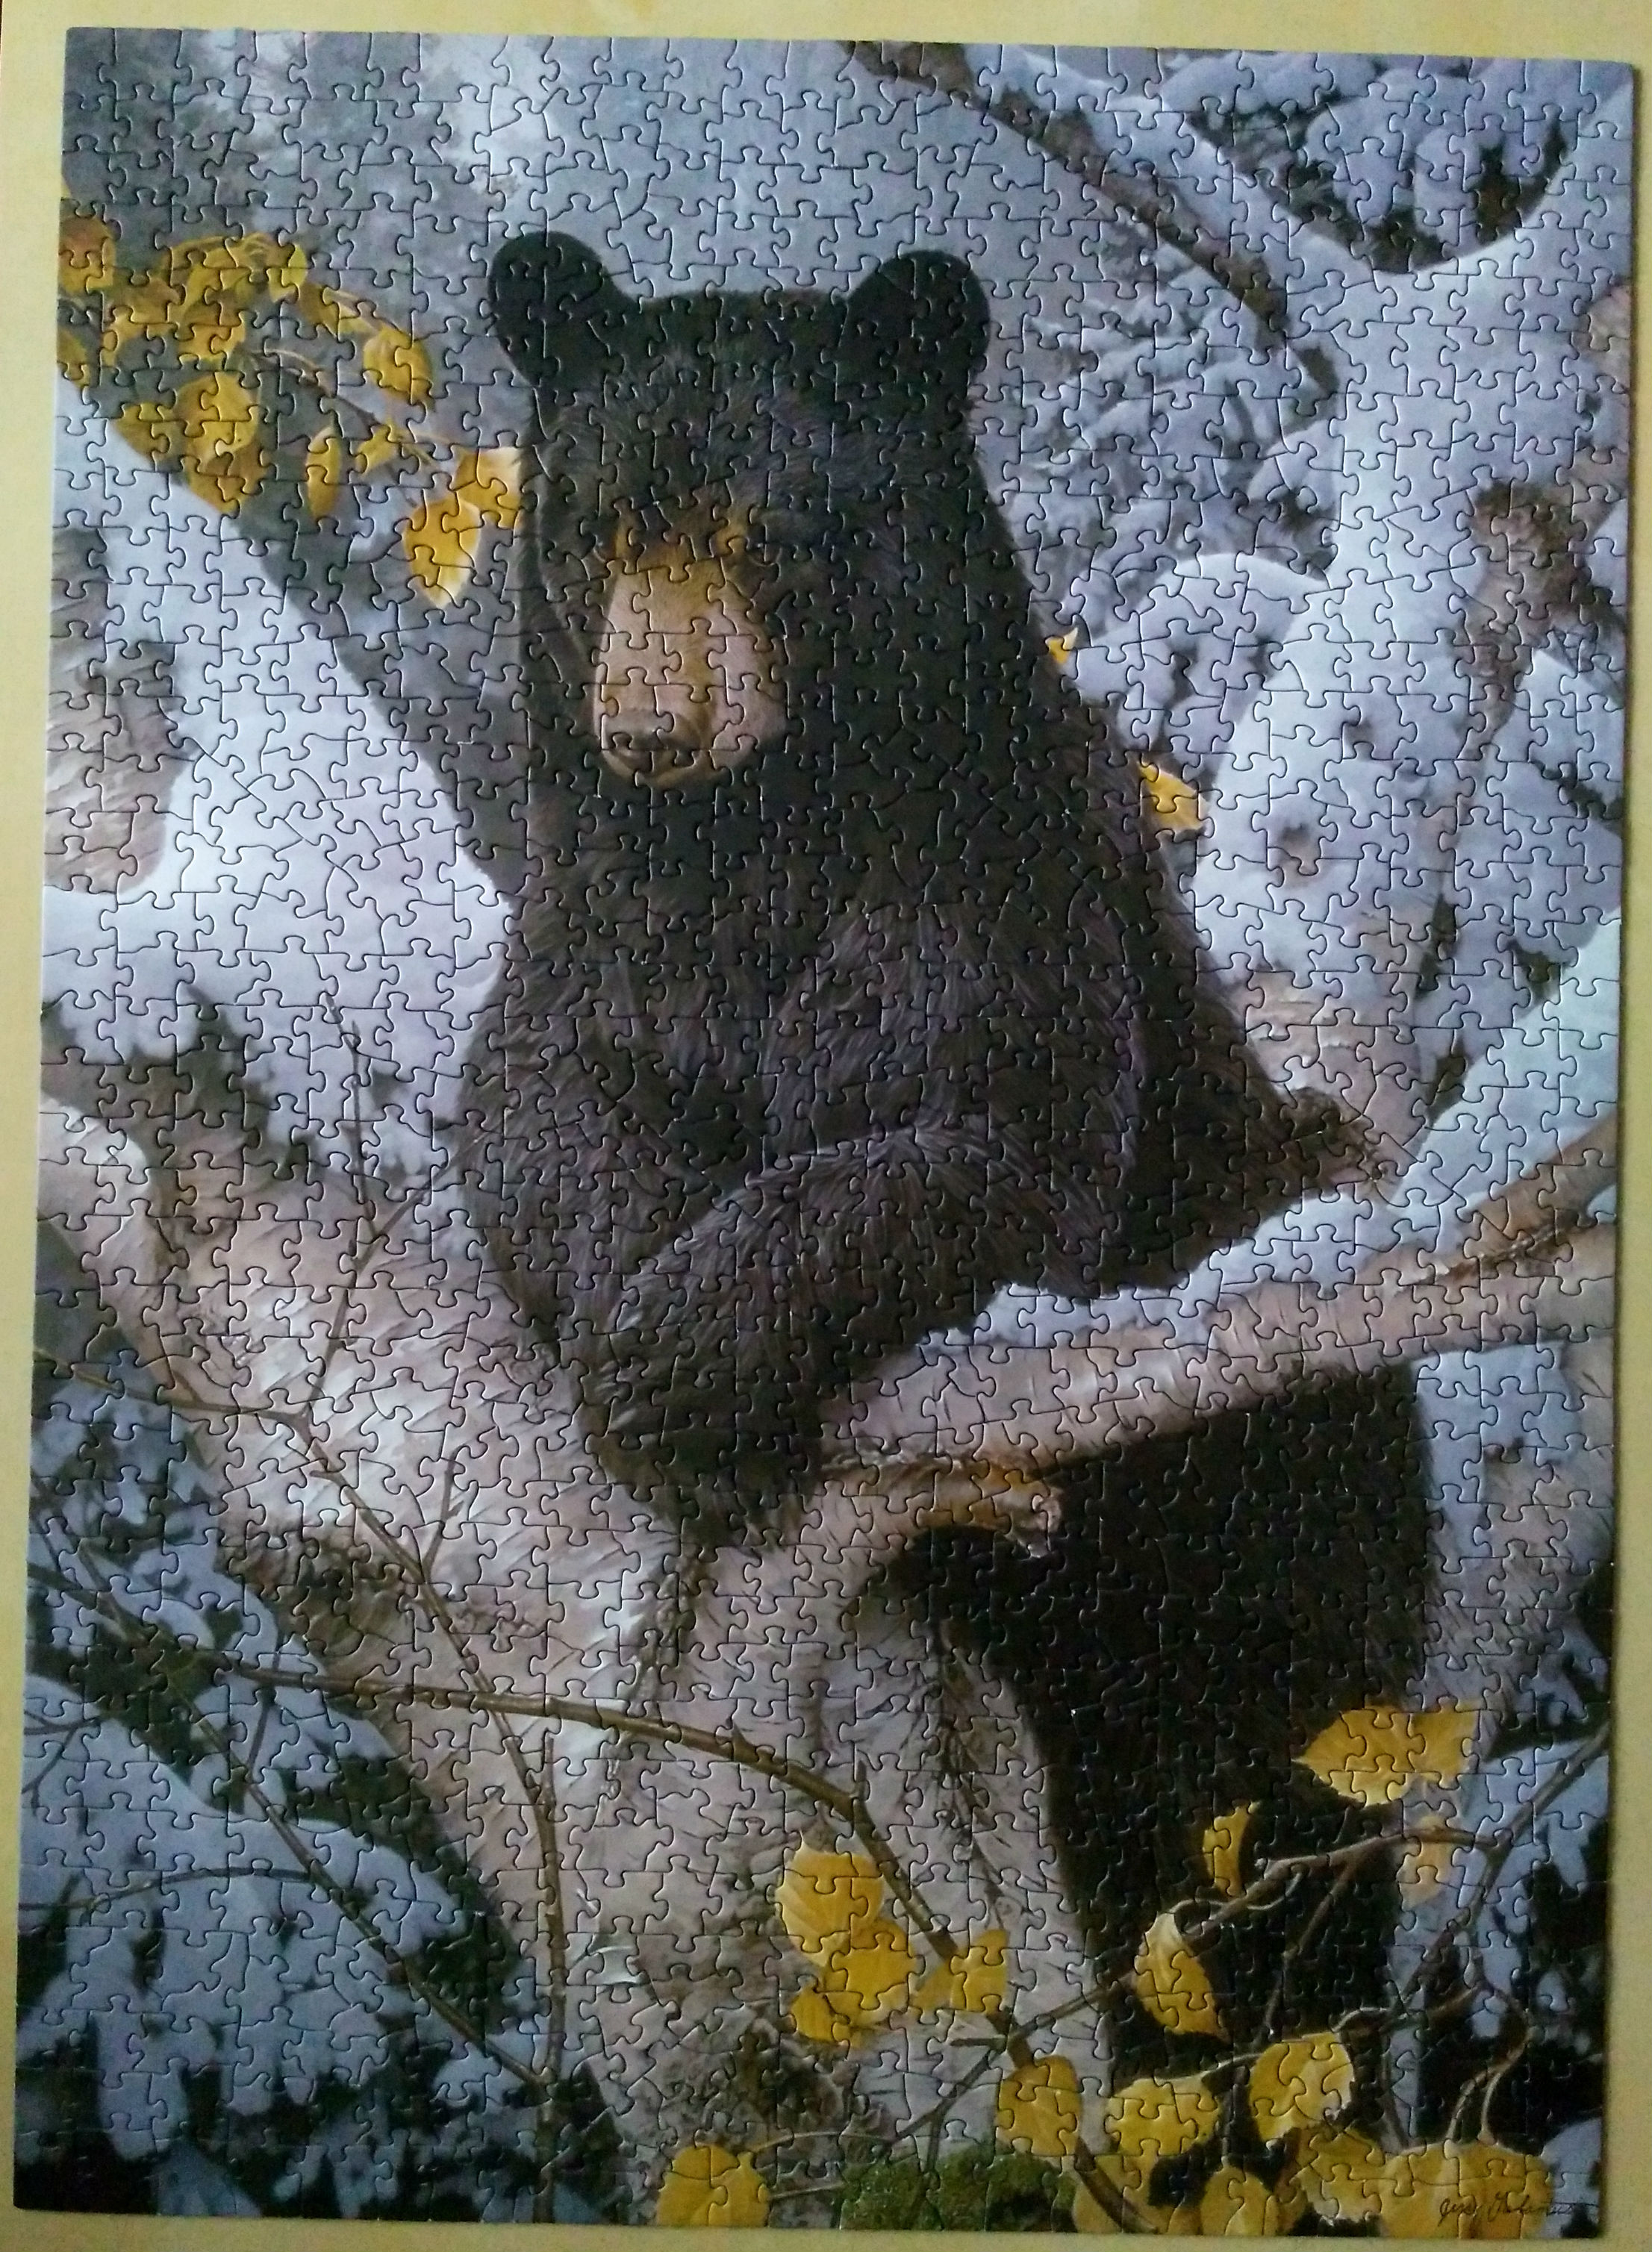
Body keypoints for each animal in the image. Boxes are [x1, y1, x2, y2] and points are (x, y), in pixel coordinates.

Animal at [463, 230, 1331, 1514]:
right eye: (601, 532)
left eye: (758, 534)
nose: (650, 731)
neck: (759, 824)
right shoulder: (599, 909)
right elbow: (536, 1110)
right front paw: (636, 1308)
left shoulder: (1000, 880)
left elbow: (989, 1149)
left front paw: (676, 1356)